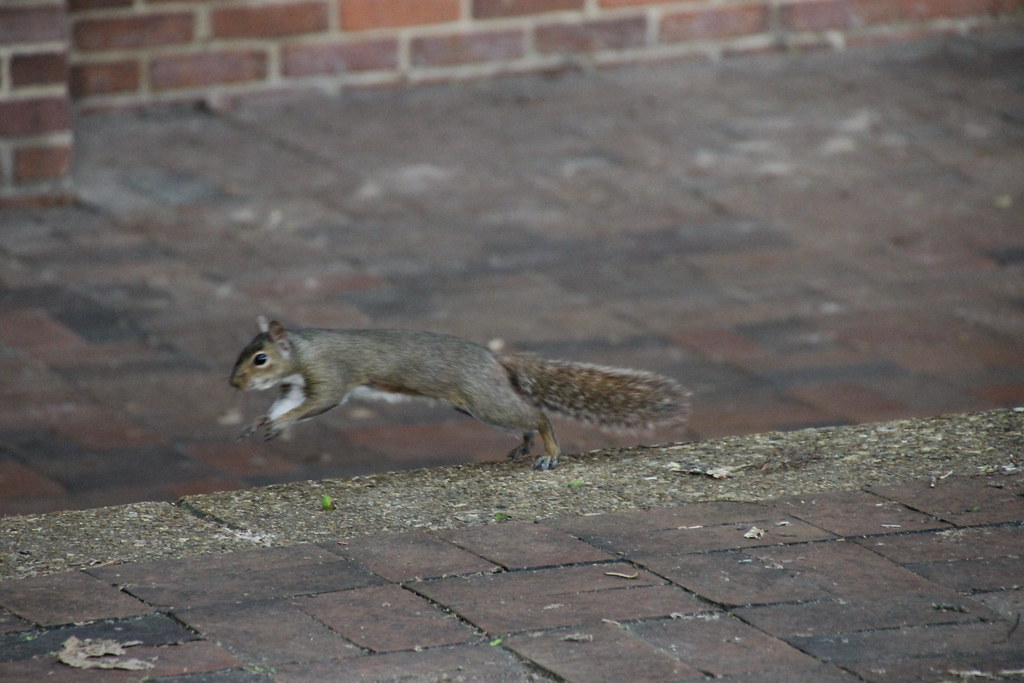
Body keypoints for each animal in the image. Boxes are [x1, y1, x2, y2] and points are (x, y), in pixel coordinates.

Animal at [230, 317, 690, 470]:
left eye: (260, 359)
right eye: (244, 352)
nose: (234, 385)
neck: (302, 350)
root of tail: (496, 362)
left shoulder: (329, 375)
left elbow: (319, 402)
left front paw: (280, 423)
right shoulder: (293, 386)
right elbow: (284, 404)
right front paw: (261, 421)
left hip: (485, 403)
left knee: (539, 416)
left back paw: (549, 452)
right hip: (477, 408)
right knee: (523, 419)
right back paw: (523, 446)